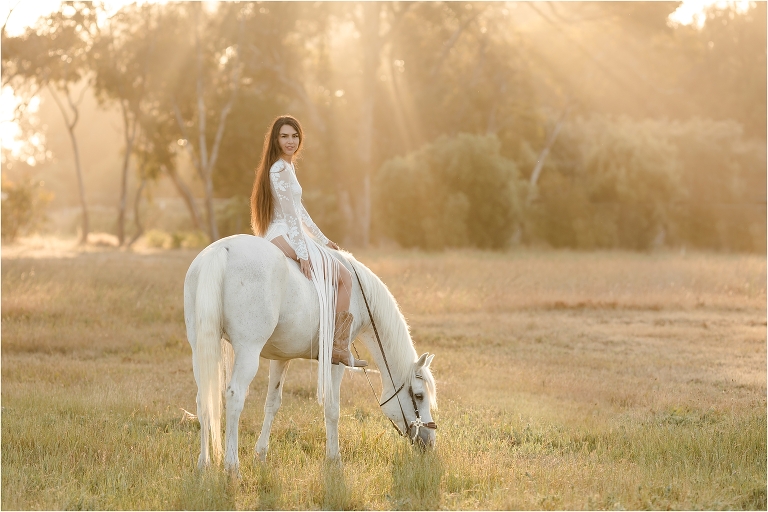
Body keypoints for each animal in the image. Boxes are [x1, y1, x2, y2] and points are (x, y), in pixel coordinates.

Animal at [183, 234, 437, 472]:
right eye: (419, 396)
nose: (430, 441)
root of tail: (221, 250)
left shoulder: (280, 359)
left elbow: (272, 404)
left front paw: (261, 455)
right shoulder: (336, 361)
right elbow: (332, 409)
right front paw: (334, 459)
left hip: (200, 349)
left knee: (203, 398)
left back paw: (204, 463)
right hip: (248, 352)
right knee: (234, 397)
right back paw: (232, 466)